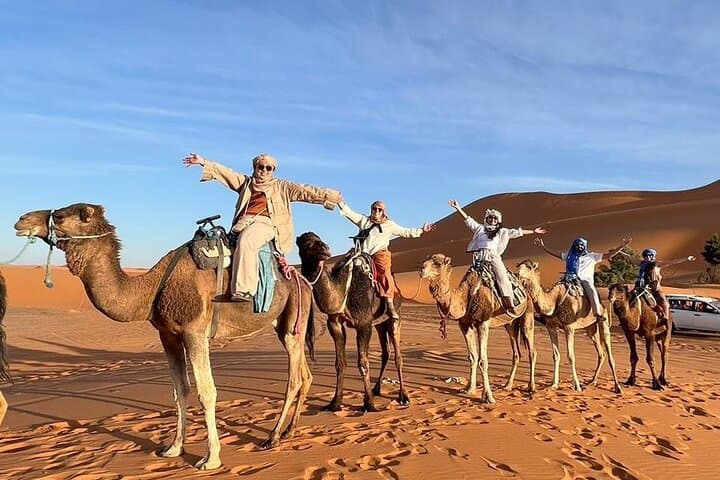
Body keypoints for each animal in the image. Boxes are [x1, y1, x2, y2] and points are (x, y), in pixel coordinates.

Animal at [14, 203, 316, 470]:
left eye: (61, 216)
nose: (21, 219)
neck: (152, 288)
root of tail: (302, 280)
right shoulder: (168, 335)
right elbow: (179, 391)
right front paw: (173, 448)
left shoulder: (195, 332)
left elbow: (206, 392)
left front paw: (211, 458)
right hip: (287, 326)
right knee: (305, 374)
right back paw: (289, 432)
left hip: (292, 323)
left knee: (294, 379)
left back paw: (273, 437)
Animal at [296, 232, 408, 412]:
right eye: (306, 244)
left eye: (319, 240)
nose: (325, 249)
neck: (343, 289)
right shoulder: (334, 323)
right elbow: (340, 363)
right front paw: (335, 403)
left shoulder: (363, 323)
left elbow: (363, 362)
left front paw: (368, 404)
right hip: (379, 324)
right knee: (386, 353)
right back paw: (377, 389)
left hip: (395, 316)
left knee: (398, 355)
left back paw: (403, 396)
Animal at [419, 254, 537, 404]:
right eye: (426, 260)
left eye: (438, 263)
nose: (422, 269)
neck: (465, 297)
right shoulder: (465, 326)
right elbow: (472, 357)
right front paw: (469, 389)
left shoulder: (483, 323)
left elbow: (482, 360)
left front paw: (488, 397)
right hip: (510, 324)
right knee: (516, 353)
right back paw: (507, 385)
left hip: (528, 314)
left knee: (532, 351)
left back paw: (531, 387)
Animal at [516, 260, 622, 393]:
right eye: (518, 265)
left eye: (529, 267)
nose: (518, 274)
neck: (554, 300)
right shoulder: (551, 327)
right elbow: (556, 355)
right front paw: (554, 384)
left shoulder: (569, 327)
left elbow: (571, 356)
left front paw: (576, 386)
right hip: (591, 328)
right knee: (601, 353)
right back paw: (592, 381)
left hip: (603, 320)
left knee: (609, 354)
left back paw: (618, 387)